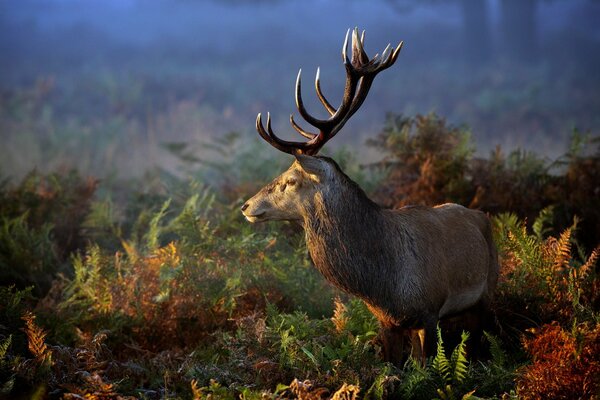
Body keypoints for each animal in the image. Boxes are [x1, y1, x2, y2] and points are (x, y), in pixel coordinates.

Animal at [241, 28, 500, 364]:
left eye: (291, 180)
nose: (246, 205)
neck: (385, 286)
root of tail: (480, 215)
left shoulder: (431, 312)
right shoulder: (387, 321)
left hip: (488, 291)